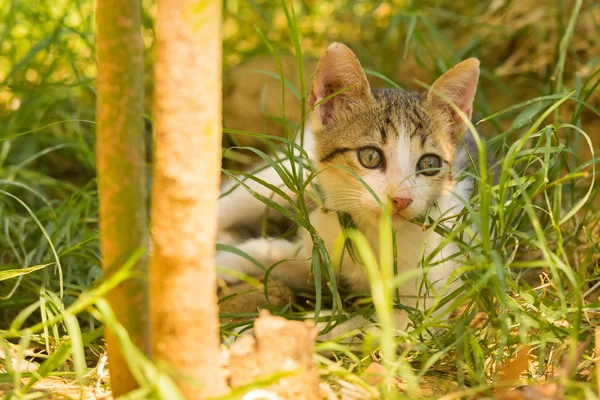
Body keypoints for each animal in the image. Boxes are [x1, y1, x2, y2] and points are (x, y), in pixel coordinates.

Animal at [216, 43, 478, 338]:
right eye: (370, 157)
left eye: (430, 164)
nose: (401, 199)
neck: (373, 234)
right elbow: (271, 253)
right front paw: (220, 263)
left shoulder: (420, 312)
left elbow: (350, 328)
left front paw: (255, 334)